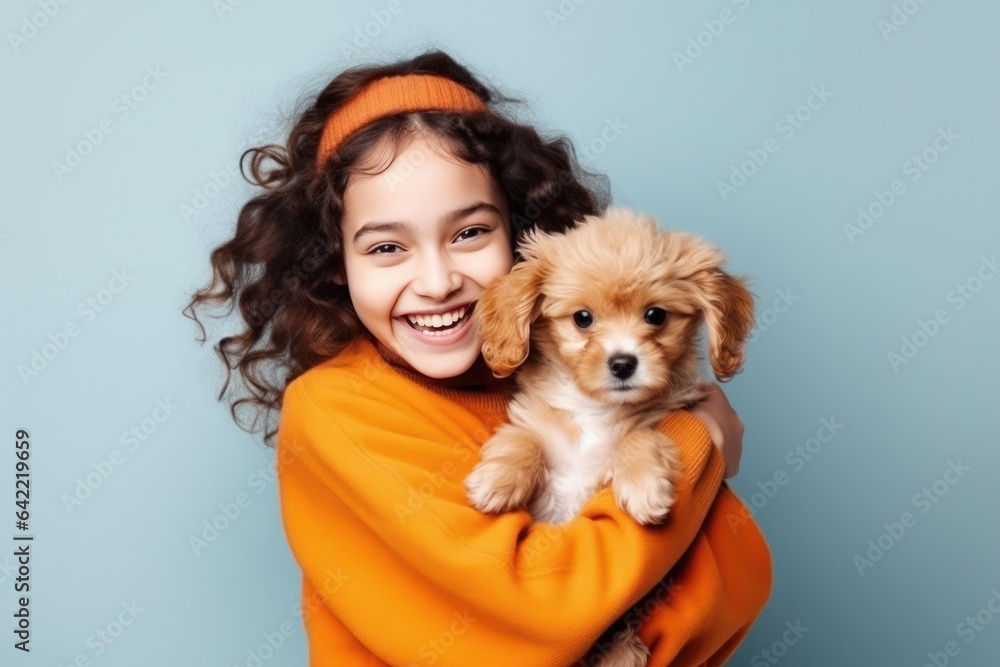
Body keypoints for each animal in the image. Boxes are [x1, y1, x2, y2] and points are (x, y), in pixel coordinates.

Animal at [464, 207, 752, 667]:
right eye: (583, 319)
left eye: (656, 316)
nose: (622, 363)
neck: (596, 410)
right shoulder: (537, 426)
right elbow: (523, 439)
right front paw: (498, 480)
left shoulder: (661, 420)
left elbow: (639, 437)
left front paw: (643, 487)